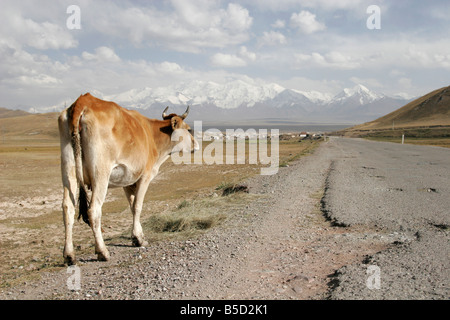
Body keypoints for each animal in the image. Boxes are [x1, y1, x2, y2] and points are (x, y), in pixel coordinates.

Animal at [58, 94, 199, 264]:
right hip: (101, 174)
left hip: (68, 170)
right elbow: (138, 206)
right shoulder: (145, 176)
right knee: (94, 210)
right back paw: (102, 251)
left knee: (68, 208)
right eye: (188, 129)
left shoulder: (127, 181)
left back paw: (69, 255)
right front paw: (138, 239)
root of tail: (83, 101)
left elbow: (132, 206)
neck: (153, 136)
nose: (196, 145)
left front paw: (138, 235)